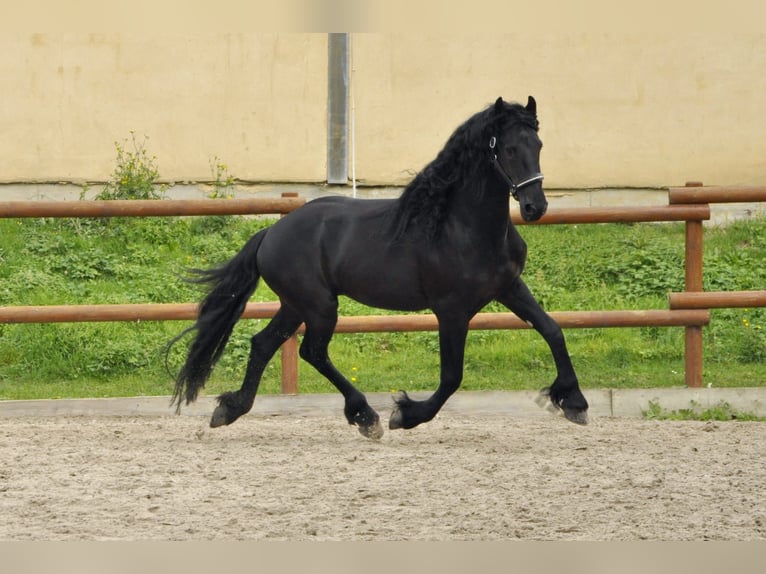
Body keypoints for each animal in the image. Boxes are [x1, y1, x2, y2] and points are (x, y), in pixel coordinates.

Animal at [174, 98, 592, 440]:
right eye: (508, 148)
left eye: (538, 145)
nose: (535, 207)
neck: (460, 226)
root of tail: (270, 233)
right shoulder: (452, 310)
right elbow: (452, 376)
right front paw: (406, 415)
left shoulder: (509, 288)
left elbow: (552, 330)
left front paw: (573, 402)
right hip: (319, 306)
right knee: (312, 351)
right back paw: (366, 416)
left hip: (296, 305)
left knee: (264, 344)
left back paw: (230, 409)